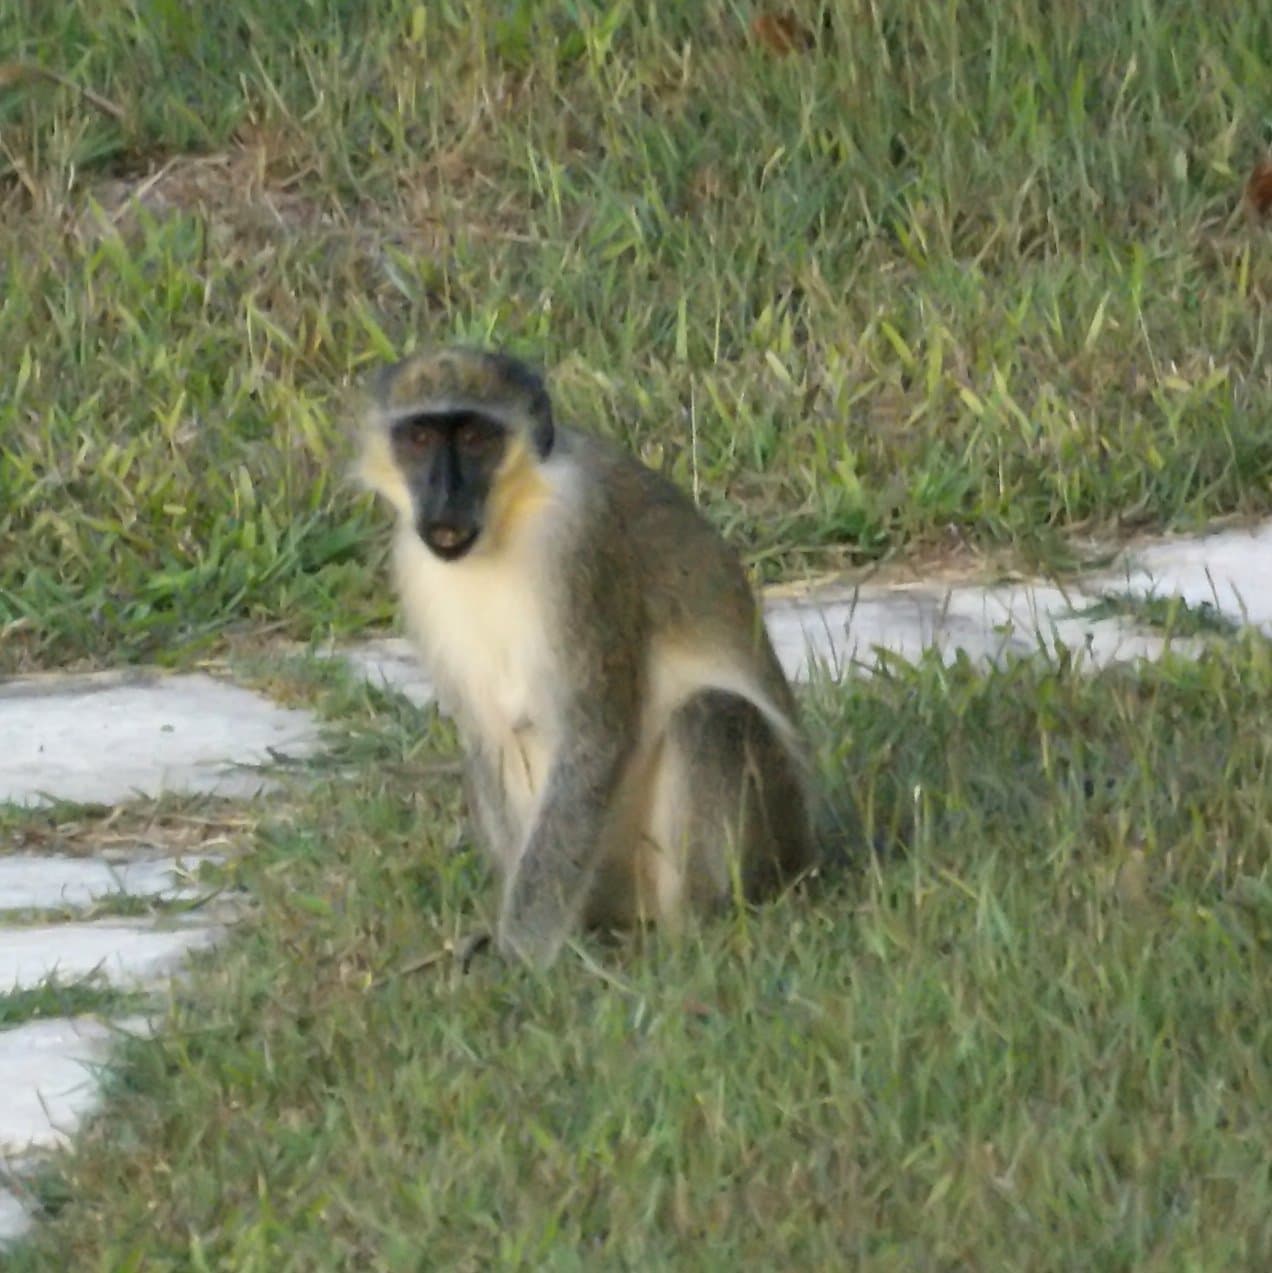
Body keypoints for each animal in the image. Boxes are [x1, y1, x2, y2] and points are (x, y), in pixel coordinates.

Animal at [357, 347, 815, 969]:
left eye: (476, 437)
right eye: (420, 437)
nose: (443, 496)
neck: (512, 511)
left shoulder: (579, 539)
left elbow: (594, 735)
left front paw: (519, 952)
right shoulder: (413, 559)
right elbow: (492, 736)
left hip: (772, 833)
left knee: (713, 712)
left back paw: (694, 926)